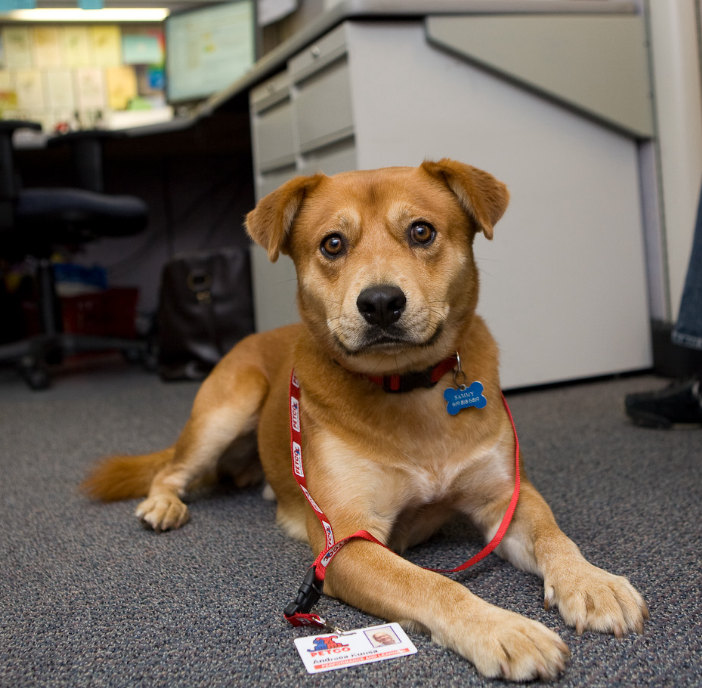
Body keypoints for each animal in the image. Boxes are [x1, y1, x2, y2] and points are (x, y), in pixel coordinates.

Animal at [82, 159, 648, 680]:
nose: (379, 303)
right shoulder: (347, 542)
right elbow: (432, 582)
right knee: (170, 469)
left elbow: (554, 535)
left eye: (421, 231)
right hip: (227, 408)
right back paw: (163, 504)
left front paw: (591, 582)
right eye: (333, 244)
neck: (409, 389)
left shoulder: (505, 498)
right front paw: (503, 628)